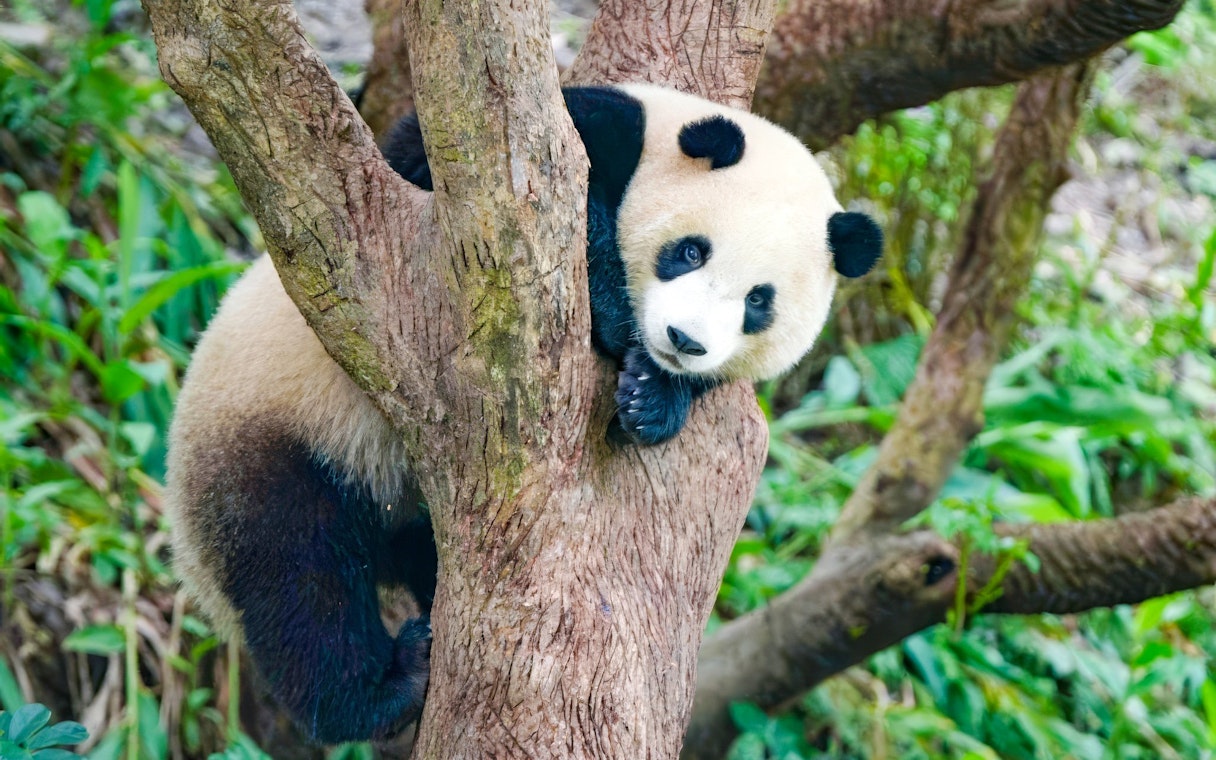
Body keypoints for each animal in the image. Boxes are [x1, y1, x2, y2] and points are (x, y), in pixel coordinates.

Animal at [165, 84, 882, 744]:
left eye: (759, 301)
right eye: (689, 251)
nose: (683, 339)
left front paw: (654, 398)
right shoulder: (569, 138)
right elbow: (451, 175)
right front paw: (615, 317)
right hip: (275, 440)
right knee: (299, 580)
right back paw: (386, 688)